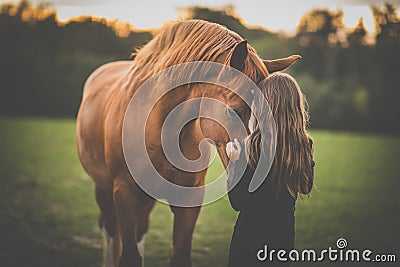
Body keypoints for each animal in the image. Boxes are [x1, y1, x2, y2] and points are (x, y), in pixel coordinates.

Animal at [76, 19, 300, 267]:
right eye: (234, 110)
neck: (160, 129)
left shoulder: (189, 201)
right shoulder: (124, 194)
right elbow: (129, 256)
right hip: (104, 189)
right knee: (110, 231)